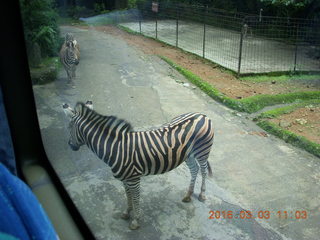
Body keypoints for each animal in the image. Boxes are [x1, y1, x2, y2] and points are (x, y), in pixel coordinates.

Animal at [62, 100, 214, 230]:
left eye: (69, 127)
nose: (69, 145)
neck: (115, 148)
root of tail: (202, 115)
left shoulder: (134, 179)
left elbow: (135, 198)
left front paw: (135, 221)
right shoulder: (125, 179)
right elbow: (128, 196)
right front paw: (126, 213)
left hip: (202, 151)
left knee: (203, 170)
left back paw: (202, 194)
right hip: (188, 155)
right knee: (194, 170)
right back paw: (188, 195)